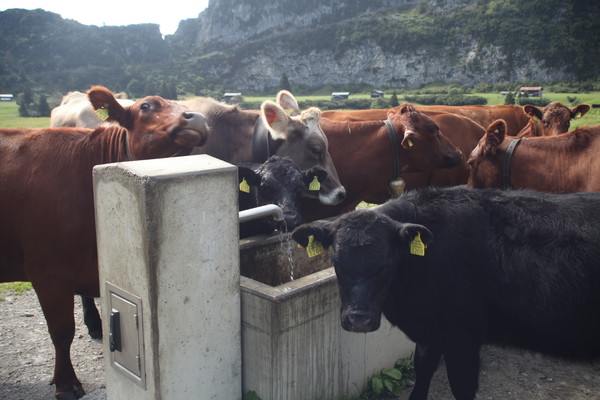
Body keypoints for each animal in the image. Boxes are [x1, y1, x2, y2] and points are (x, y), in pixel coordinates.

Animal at [292, 188, 600, 400]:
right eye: (336, 261)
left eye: (386, 264)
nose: (358, 320)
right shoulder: (432, 333)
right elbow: (422, 372)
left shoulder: (462, 339)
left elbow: (461, 387)